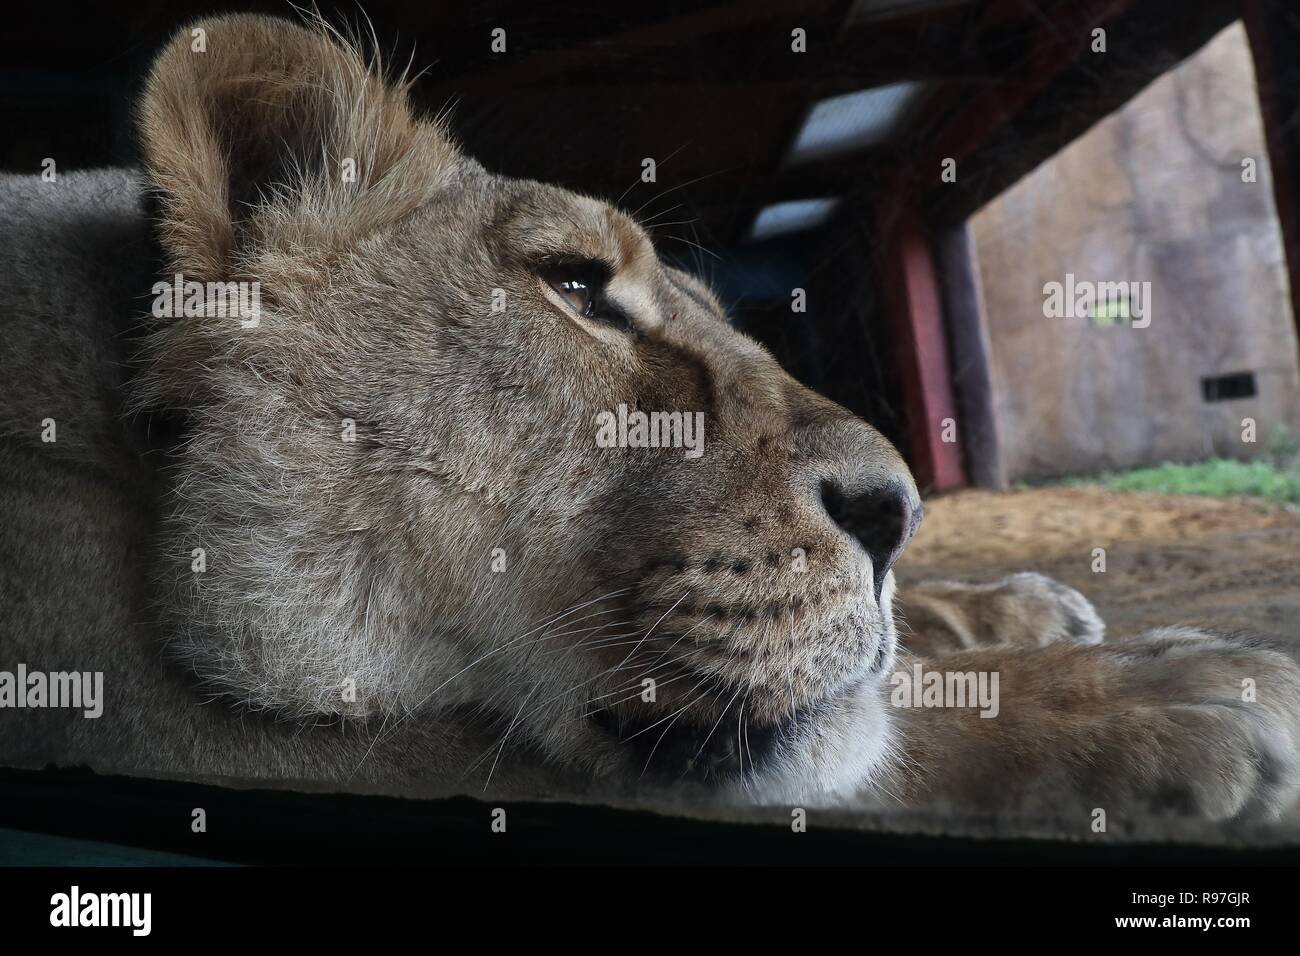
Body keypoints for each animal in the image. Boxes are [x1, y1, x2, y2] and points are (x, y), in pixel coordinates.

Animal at [0, 11, 1294, 827]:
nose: (898, 513)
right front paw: (1160, 691)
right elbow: (861, 738)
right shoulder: (154, 723)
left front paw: (1014, 612)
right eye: (576, 287)